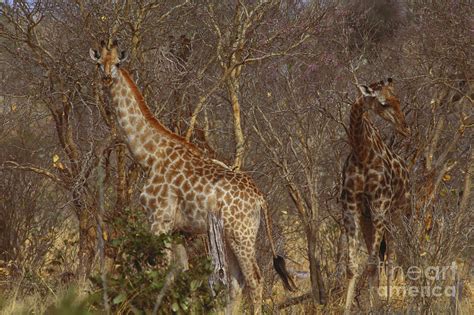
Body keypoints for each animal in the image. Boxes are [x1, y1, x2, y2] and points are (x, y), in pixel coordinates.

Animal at [89, 41, 294, 314]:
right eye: (99, 63)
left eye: (118, 63)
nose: (106, 77)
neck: (148, 156)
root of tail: (261, 198)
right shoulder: (177, 228)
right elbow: (178, 275)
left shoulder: (159, 219)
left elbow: (160, 270)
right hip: (229, 235)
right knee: (236, 281)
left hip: (242, 234)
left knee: (255, 279)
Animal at [340, 78, 412, 314]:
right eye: (383, 103)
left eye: (398, 99)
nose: (405, 128)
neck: (362, 153)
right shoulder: (351, 208)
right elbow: (353, 265)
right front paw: (348, 308)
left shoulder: (380, 206)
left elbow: (372, 262)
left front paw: (378, 305)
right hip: (369, 219)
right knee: (382, 258)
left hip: (399, 216)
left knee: (391, 258)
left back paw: (388, 301)